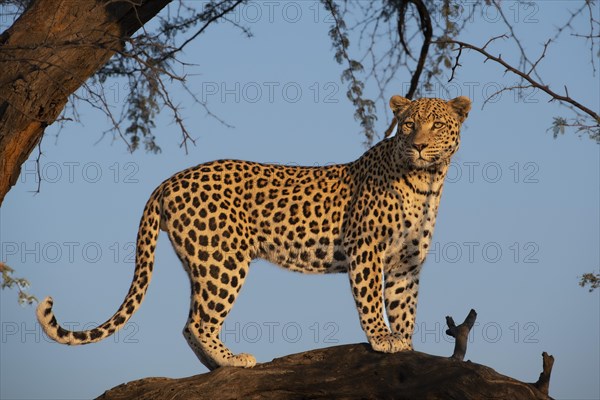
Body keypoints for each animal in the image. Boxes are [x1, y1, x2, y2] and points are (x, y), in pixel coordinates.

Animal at [37, 95, 472, 370]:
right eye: (409, 125)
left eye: (437, 125)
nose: (419, 146)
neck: (427, 182)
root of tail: (168, 181)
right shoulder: (365, 249)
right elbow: (370, 301)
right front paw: (383, 338)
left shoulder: (406, 263)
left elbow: (404, 306)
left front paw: (405, 342)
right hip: (222, 259)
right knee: (199, 322)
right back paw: (233, 360)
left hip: (202, 259)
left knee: (189, 323)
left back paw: (216, 368)